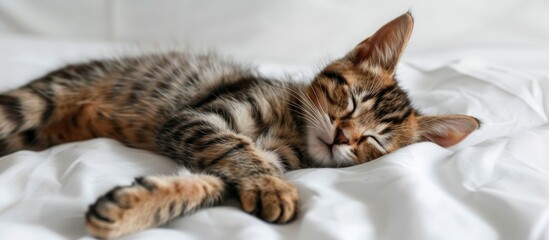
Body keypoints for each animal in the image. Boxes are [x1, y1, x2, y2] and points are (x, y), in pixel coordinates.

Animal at [0, 12, 478, 238]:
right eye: (351, 100)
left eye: (375, 141)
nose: (343, 136)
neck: (291, 129)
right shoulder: (198, 118)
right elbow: (236, 148)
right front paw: (273, 188)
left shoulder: (242, 153)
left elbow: (211, 184)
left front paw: (133, 208)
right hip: (34, 102)